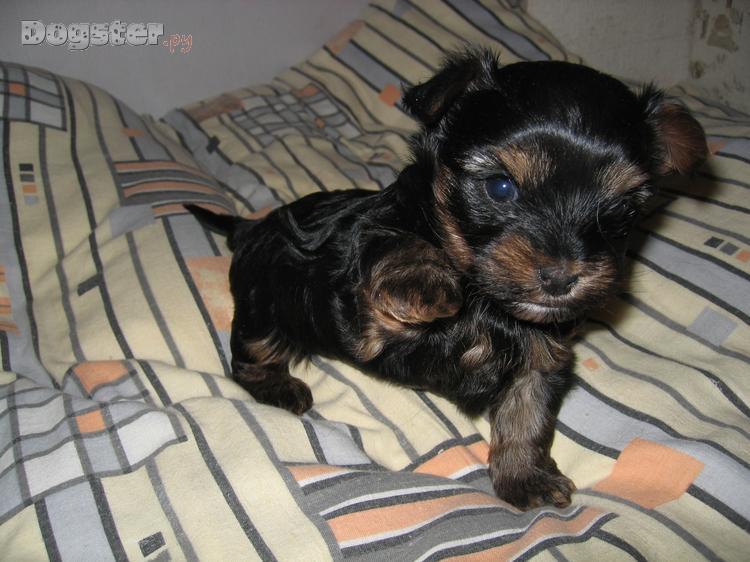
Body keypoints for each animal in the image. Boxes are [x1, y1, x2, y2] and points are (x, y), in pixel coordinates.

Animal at [187, 48, 706, 510]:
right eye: (501, 187)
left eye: (620, 211)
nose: (561, 277)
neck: (489, 303)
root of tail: (251, 227)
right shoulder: (359, 309)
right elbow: (389, 247)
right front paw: (428, 280)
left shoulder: (544, 356)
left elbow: (527, 415)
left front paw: (524, 477)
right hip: (264, 308)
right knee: (248, 357)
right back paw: (281, 387)